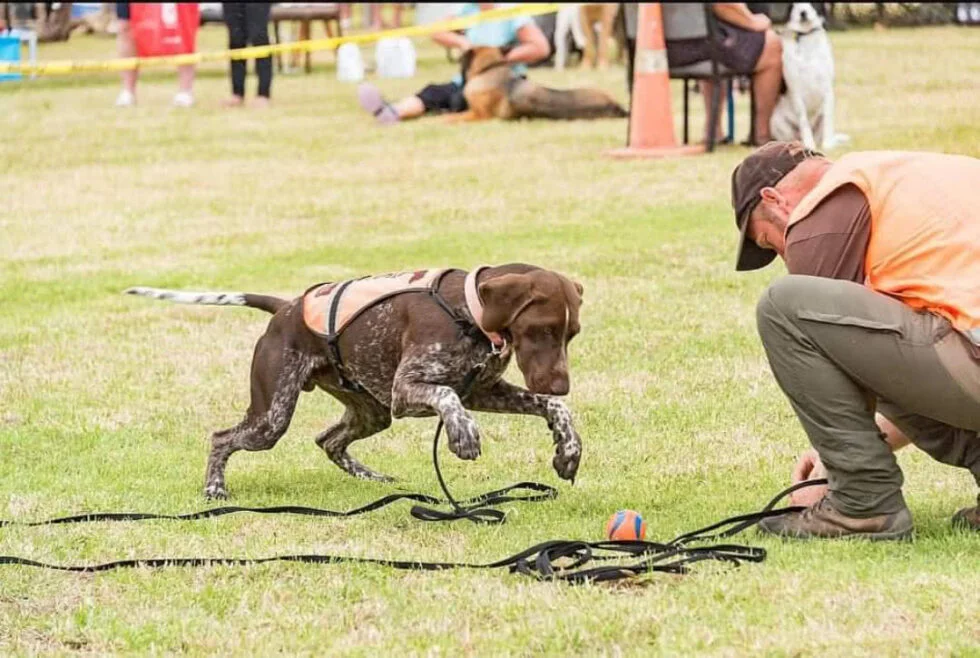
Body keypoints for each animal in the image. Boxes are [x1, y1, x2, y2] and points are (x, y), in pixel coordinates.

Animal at [122, 264, 580, 494]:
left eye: (572, 334)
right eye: (541, 330)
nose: (561, 383)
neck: (465, 311)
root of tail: (285, 308)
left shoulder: (482, 390)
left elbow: (555, 409)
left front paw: (568, 450)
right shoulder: (407, 391)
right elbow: (449, 399)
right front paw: (463, 434)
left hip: (372, 412)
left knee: (328, 440)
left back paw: (371, 478)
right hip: (272, 418)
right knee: (222, 438)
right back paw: (215, 488)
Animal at [772, 2, 848, 149]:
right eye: (794, 4)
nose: (803, 13)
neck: (806, 37)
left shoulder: (827, 89)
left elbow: (828, 121)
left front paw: (827, 145)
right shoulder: (796, 90)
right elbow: (803, 121)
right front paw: (809, 144)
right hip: (778, 122)